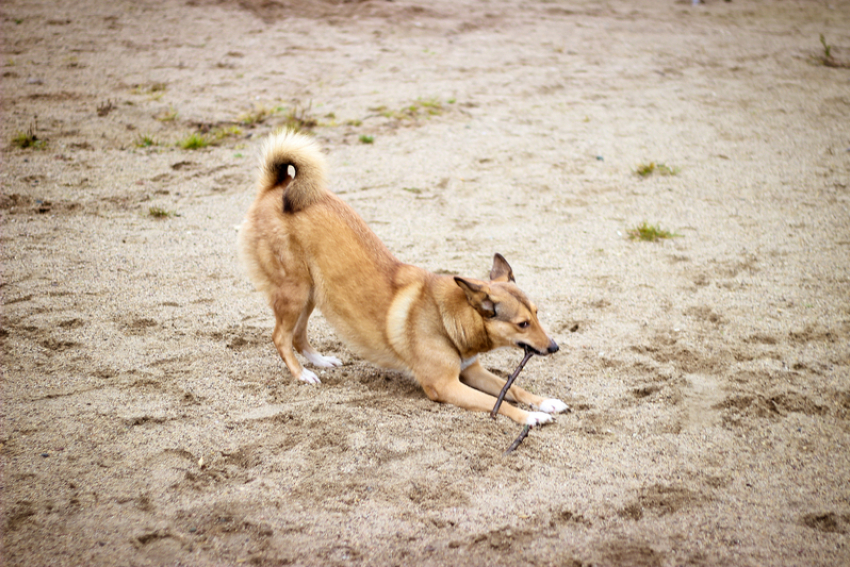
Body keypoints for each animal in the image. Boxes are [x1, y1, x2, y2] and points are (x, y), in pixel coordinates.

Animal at [238, 131, 568, 426]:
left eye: (537, 314)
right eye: (522, 324)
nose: (554, 347)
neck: (446, 317)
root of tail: (277, 186)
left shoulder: (471, 370)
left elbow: (513, 388)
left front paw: (545, 402)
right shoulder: (445, 385)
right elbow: (497, 402)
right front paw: (532, 416)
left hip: (312, 293)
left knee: (296, 334)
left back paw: (319, 361)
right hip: (295, 292)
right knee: (280, 337)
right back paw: (303, 374)